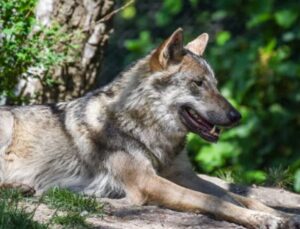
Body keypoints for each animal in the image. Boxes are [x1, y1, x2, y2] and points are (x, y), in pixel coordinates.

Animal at [0, 28, 298, 227]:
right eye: (198, 83)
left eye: (215, 84)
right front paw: (261, 219)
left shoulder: (183, 175)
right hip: (7, 126)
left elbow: (235, 196)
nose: (237, 116)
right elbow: (215, 201)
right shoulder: (148, 182)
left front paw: (280, 214)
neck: (149, 131)